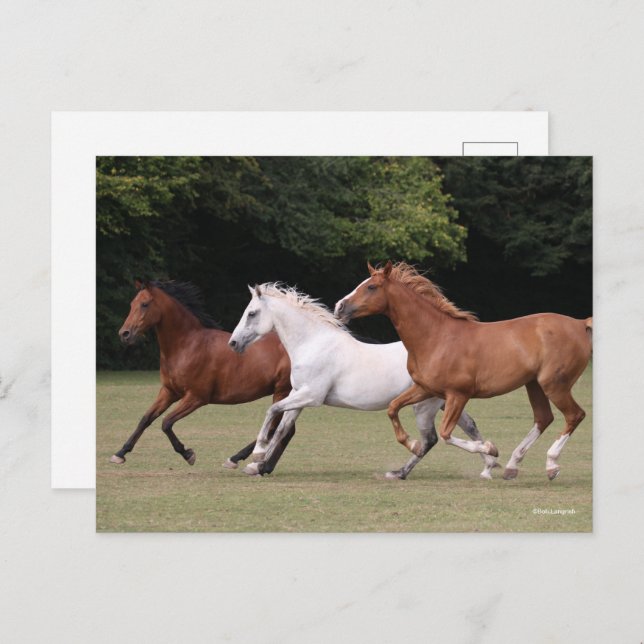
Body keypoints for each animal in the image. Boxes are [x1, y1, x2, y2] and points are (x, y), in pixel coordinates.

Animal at [112, 280, 294, 473]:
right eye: (132, 304)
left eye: (145, 304)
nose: (124, 334)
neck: (187, 345)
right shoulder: (169, 392)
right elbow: (146, 419)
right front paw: (120, 454)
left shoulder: (196, 397)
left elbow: (166, 423)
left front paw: (188, 454)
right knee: (286, 430)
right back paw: (263, 466)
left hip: (282, 391)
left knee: (276, 428)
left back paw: (242, 461)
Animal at [228, 283, 499, 479]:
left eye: (251, 313)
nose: (233, 343)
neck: (313, 344)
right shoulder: (298, 395)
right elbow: (282, 427)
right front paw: (257, 466)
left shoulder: (311, 396)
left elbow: (272, 412)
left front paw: (257, 455)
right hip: (444, 401)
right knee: (467, 427)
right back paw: (488, 462)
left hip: (425, 405)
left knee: (431, 438)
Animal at [334, 261, 592, 480]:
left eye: (371, 286)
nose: (339, 307)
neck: (436, 337)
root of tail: (580, 324)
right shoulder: (425, 389)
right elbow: (393, 408)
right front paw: (413, 445)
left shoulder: (458, 395)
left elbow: (446, 433)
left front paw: (490, 450)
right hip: (534, 384)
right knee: (543, 418)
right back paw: (511, 467)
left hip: (554, 385)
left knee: (574, 415)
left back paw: (551, 465)